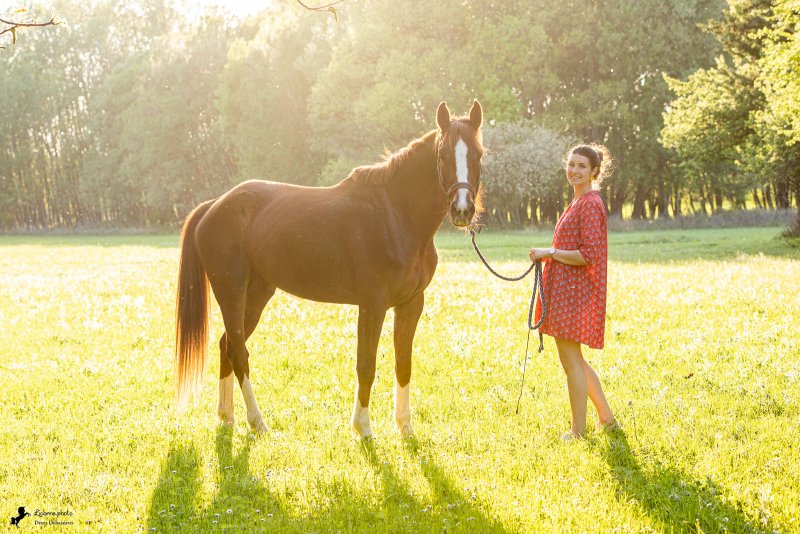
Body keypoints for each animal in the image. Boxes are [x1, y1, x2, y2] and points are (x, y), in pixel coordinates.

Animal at [175, 100, 484, 439]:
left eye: (478, 155)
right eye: (442, 156)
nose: (462, 209)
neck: (395, 215)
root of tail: (215, 205)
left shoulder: (411, 304)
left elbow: (403, 363)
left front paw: (405, 428)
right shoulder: (373, 304)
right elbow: (366, 364)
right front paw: (363, 429)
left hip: (257, 294)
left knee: (228, 345)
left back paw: (227, 417)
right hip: (231, 292)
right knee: (239, 352)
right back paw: (257, 422)